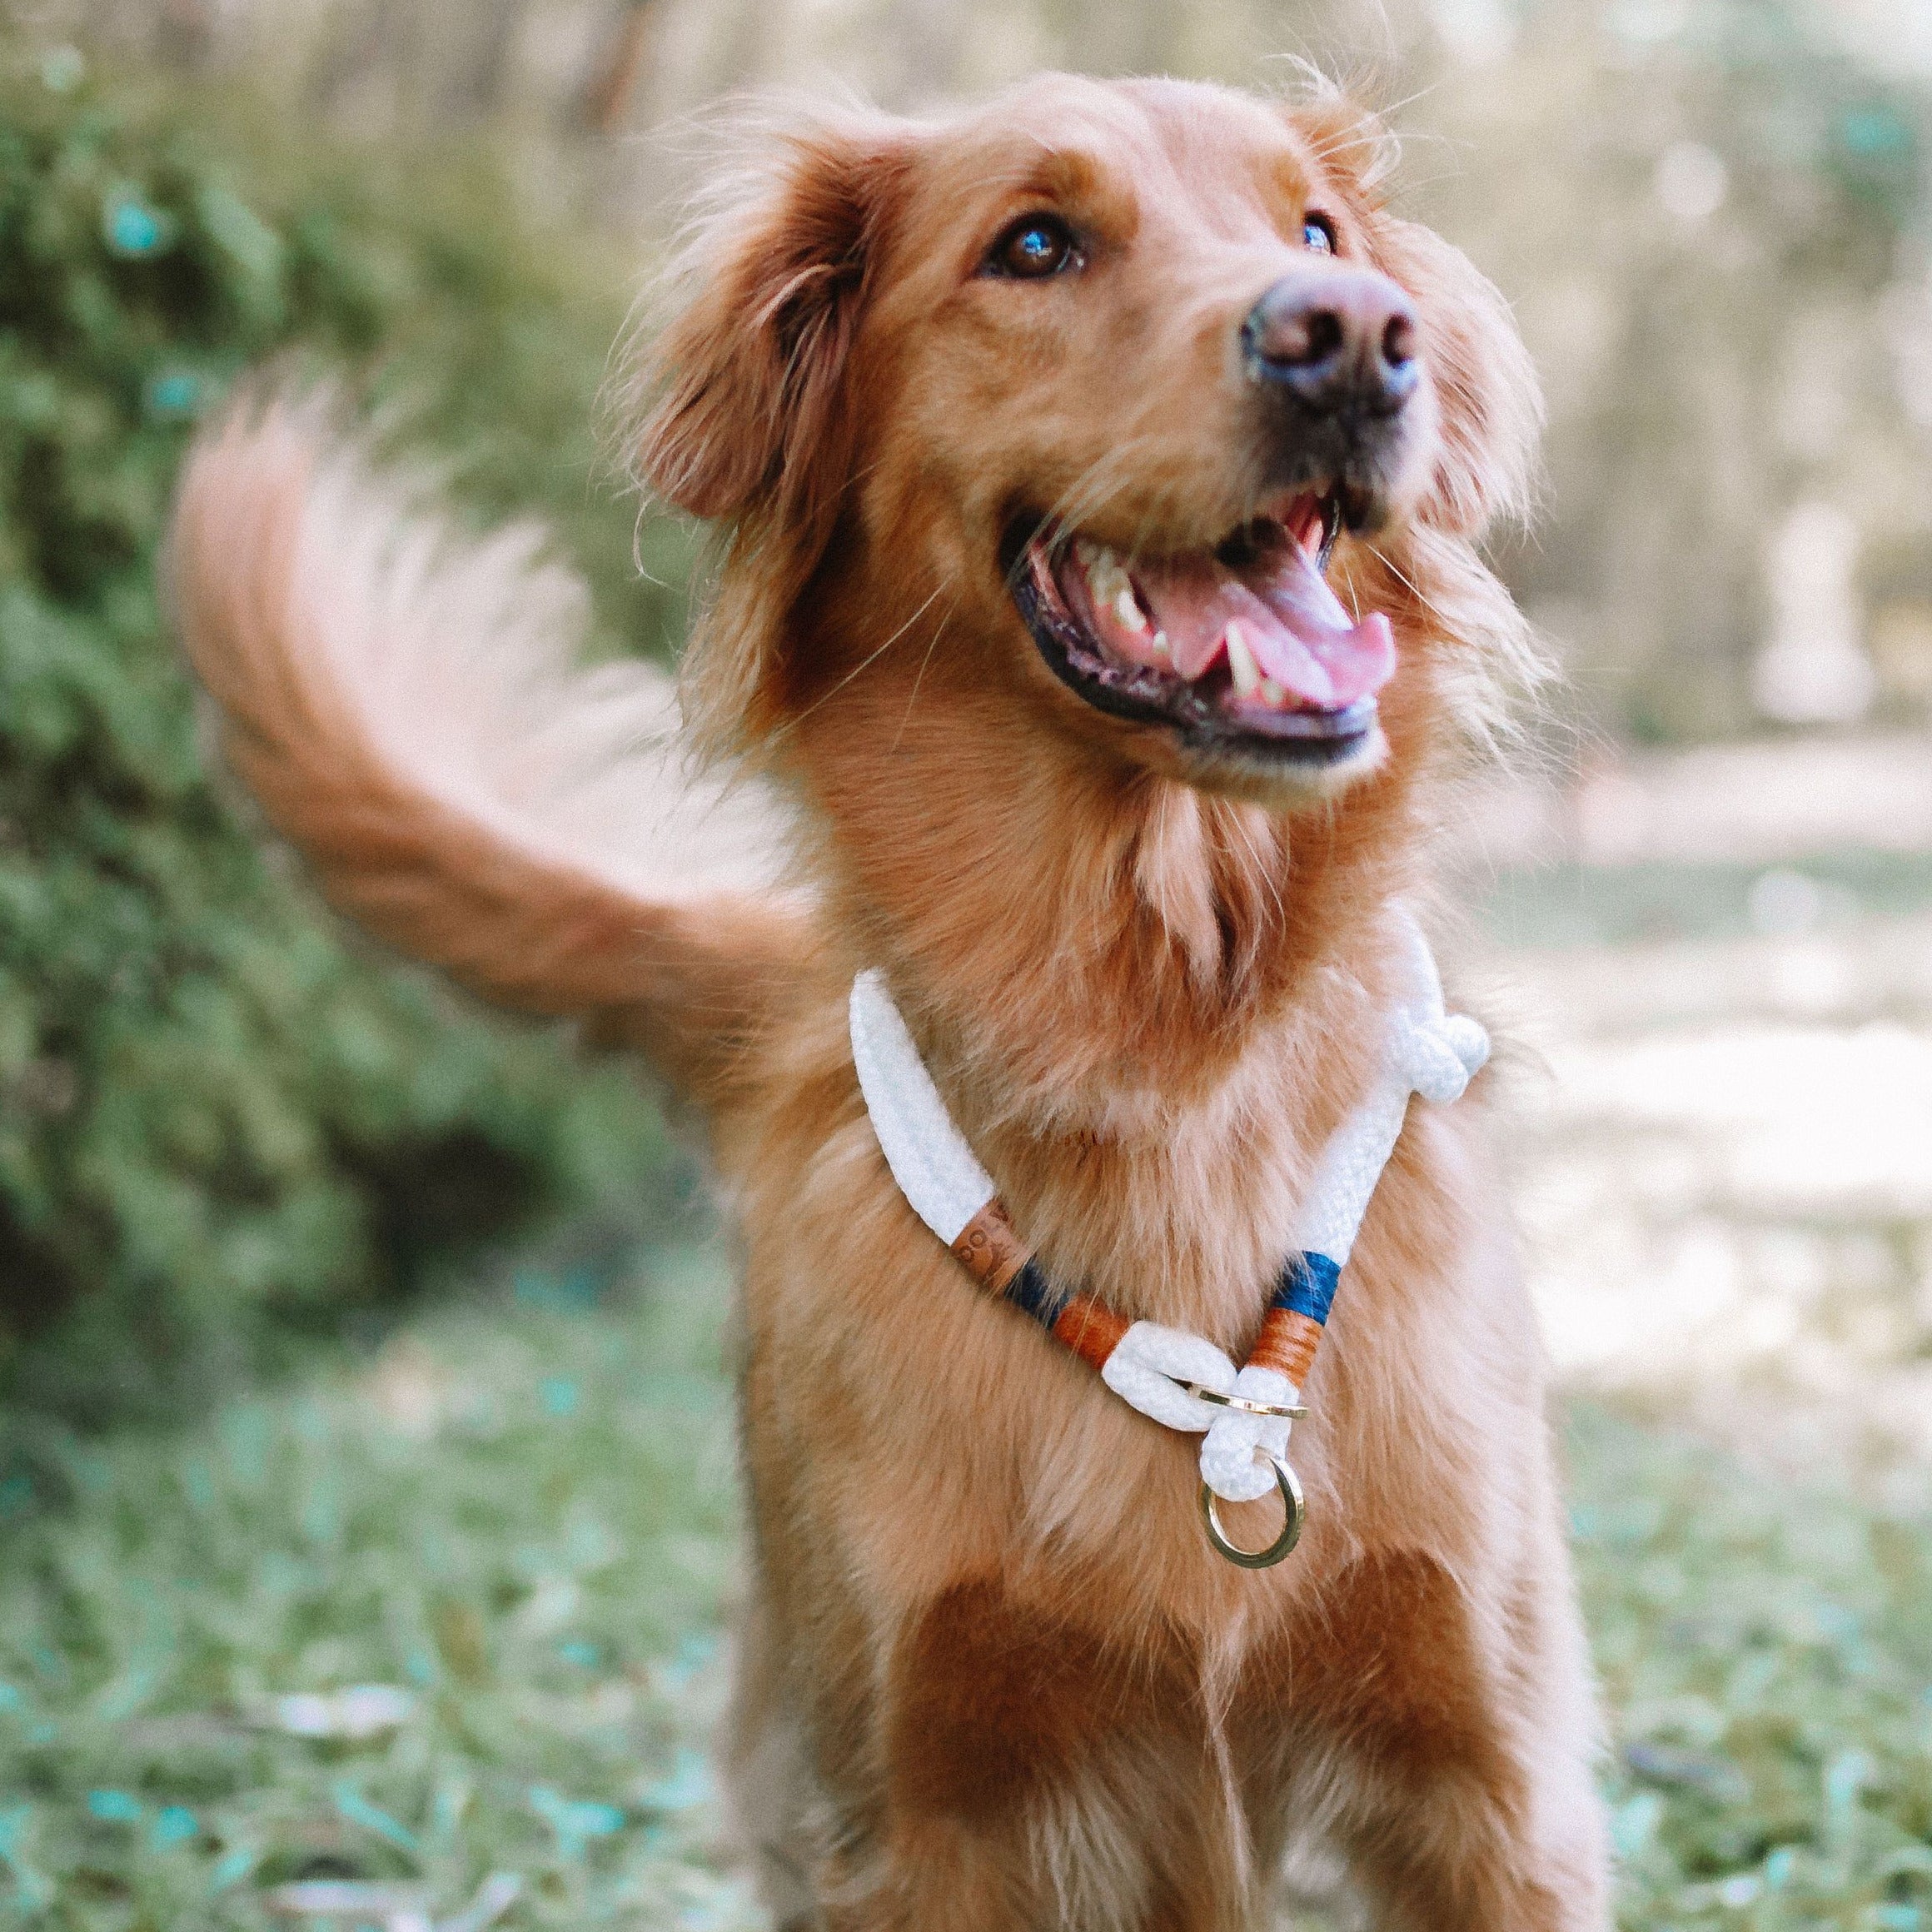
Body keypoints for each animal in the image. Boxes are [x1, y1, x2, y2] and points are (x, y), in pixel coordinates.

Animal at [173, 71, 1607, 1932]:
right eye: (1036, 245)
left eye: (1316, 229)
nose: (1358, 337)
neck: (1155, 1053)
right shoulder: (920, 1804)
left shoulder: (1491, 1780)